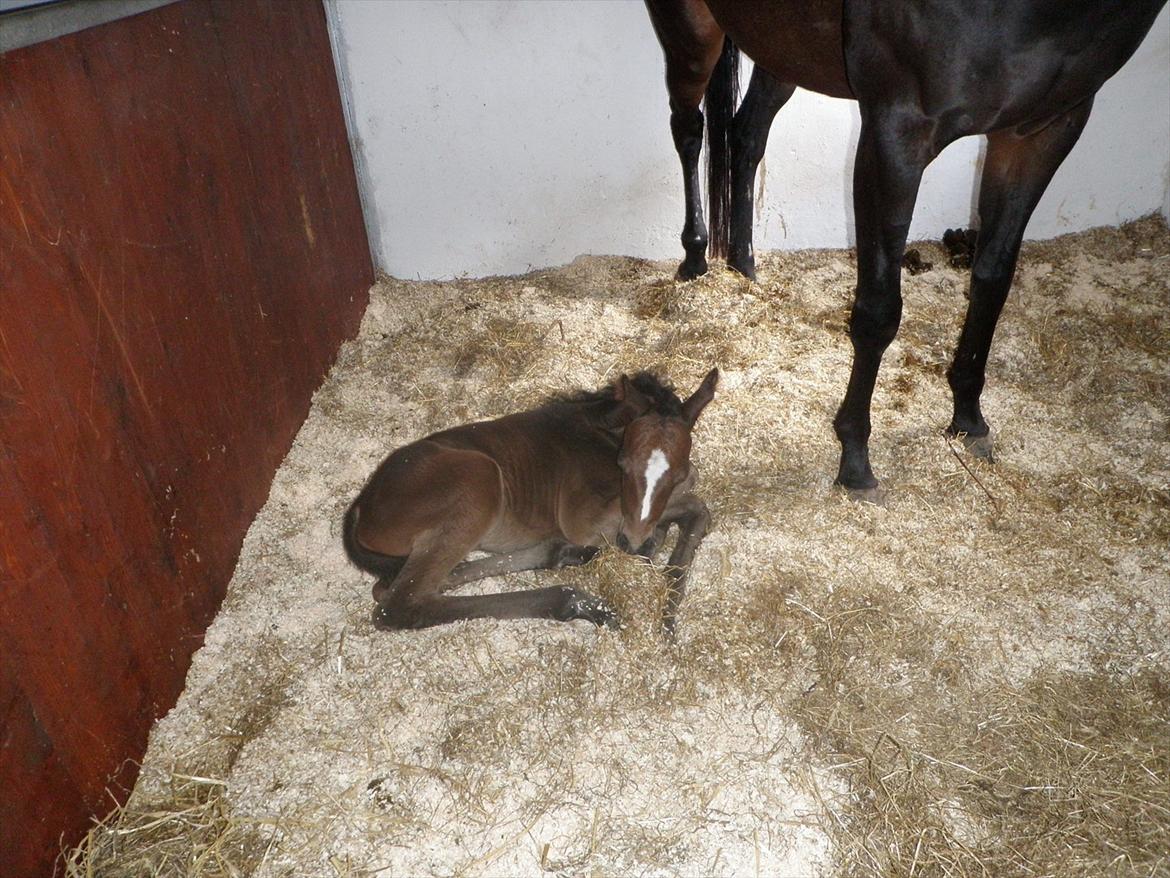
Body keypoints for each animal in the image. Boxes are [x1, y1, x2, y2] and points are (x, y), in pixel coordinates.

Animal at [341, 369, 716, 632]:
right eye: (623, 464)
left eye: (676, 473)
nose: (635, 542)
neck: (599, 429)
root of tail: (361, 506)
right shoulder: (582, 518)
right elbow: (696, 504)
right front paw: (667, 609)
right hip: (479, 480)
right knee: (399, 604)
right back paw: (580, 600)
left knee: (403, 584)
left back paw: (567, 554)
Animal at [645, 0, 1165, 501]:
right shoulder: (895, 134)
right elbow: (879, 312)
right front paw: (855, 460)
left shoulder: (1044, 131)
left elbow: (992, 280)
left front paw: (968, 419)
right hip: (692, 32)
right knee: (689, 128)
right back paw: (694, 259)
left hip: (781, 45)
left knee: (747, 134)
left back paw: (744, 265)